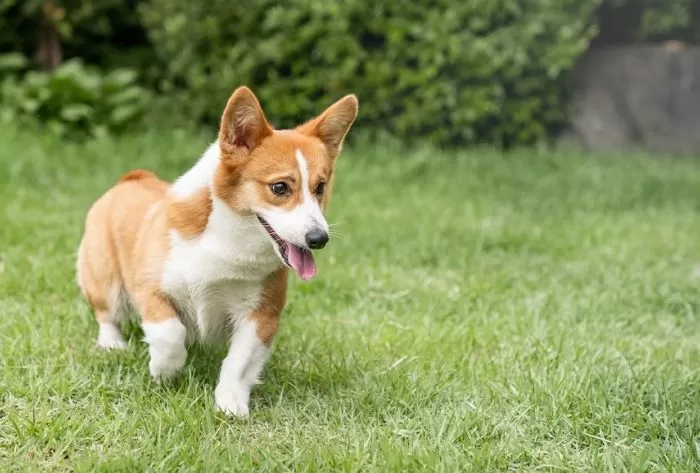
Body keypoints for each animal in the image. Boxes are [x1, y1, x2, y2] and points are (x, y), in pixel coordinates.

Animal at [77, 86, 360, 414]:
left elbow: (239, 362)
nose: (319, 238)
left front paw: (230, 403)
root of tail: (133, 177)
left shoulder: (261, 314)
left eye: (320, 187)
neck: (231, 238)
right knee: (107, 314)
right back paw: (113, 345)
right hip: (105, 280)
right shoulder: (151, 290)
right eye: (279, 187)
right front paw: (165, 371)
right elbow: (170, 333)